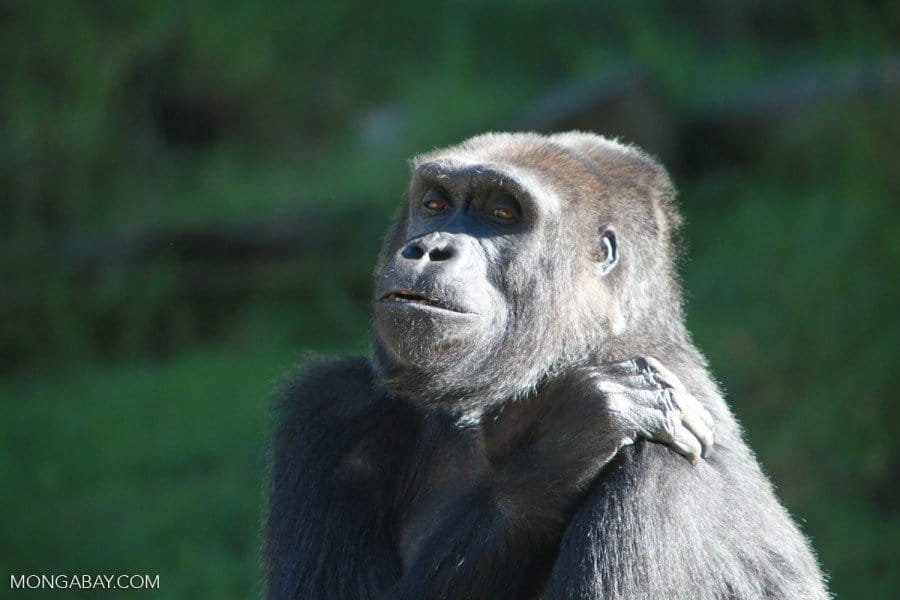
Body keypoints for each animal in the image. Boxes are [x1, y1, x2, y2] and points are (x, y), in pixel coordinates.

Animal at [262, 132, 828, 600]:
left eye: (502, 215)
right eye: (435, 204)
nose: (429, 249)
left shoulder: (657, 485)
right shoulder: (331, 405)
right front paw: (568, 441)